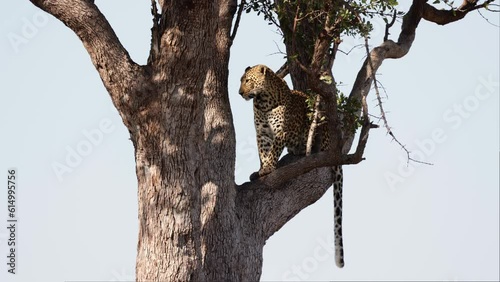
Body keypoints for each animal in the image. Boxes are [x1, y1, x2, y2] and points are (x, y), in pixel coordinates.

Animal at [239, 64, 348, 268]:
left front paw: (268, 169)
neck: (263, 102)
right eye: (241, 80)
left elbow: (272, 152)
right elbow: (263, 153)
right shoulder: (262, 134)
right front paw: (260, 170)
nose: (240, 92)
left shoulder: (281, 132)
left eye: (248, 80)